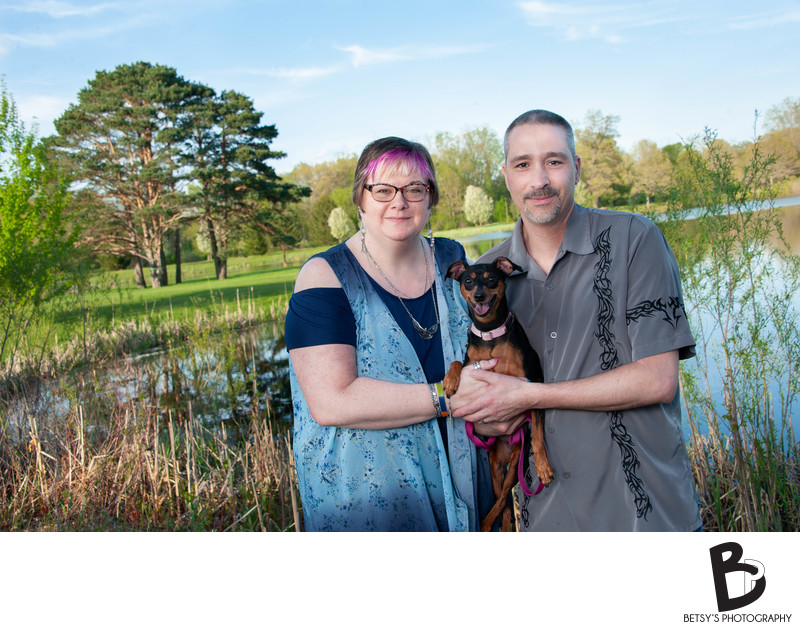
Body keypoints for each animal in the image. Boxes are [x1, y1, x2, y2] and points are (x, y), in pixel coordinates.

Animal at [440, 256, 552, 532]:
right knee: (502, 502)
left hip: (515, 465)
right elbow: (457, 362)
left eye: (491, 279)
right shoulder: (471, 365)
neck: (490, 333)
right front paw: (450, 381)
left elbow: (538, 436)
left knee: (502, 500)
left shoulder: (531, 383)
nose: (479, 296)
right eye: (468, 281)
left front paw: (544, 467)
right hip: (494, 467)